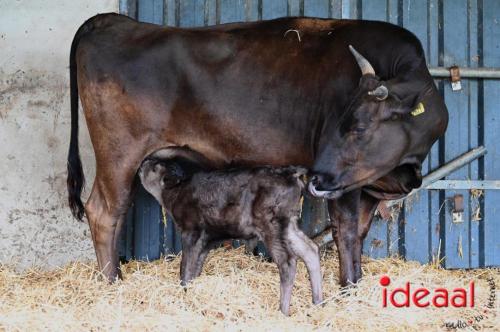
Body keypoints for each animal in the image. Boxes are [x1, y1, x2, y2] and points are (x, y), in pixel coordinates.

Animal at [67, 13, 450, 286]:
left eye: (358, 127)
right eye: (339, 122)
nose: (316, 178)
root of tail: (114, 20)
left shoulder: (367, 185)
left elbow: (359, 233)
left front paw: (354, 284)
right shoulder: (345, 187)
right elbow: (346, 232)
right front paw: (348, 288)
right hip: (118, 153)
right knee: (105, 211)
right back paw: (112, 282)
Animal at [139, 160, 322, 316]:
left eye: (155, 168)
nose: (143, 162)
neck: (177, 192)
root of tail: (289, 172)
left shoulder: (191, 231)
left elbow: (186, 266)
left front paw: (184, 289)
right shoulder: (207, 239)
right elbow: (196, 265)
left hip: (272, 226)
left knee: (287, 262)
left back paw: (283, 311)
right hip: (289, 226)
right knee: (310, 250)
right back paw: (318, 302)